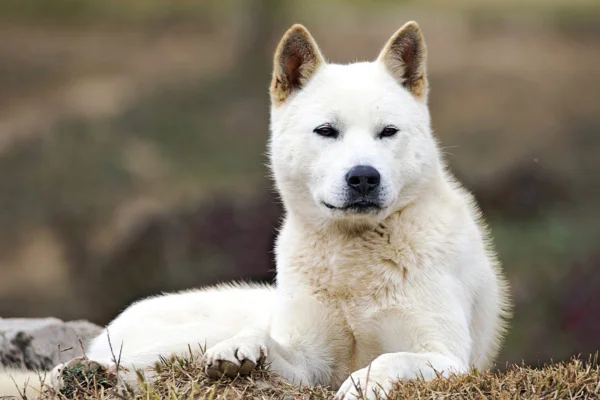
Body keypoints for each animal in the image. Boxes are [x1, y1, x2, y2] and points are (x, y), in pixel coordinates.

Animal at [2, 22, 512, 400]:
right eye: (326, 131)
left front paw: (363, 382)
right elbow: (271, 342)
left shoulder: (449, 356)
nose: (364, 177)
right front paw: (240, 350)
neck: (353, 261)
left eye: (388, 132)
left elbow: (390, 358)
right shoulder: (310, 363)